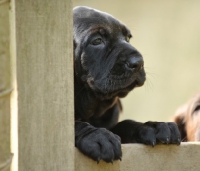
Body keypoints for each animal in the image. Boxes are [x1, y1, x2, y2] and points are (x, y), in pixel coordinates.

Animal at [74, 6, 181, 164]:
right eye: (97, 40)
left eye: (128, 38)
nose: (138, 62)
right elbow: (73, 125)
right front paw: (97, 136)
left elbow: (125, 124)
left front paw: (153, 126)